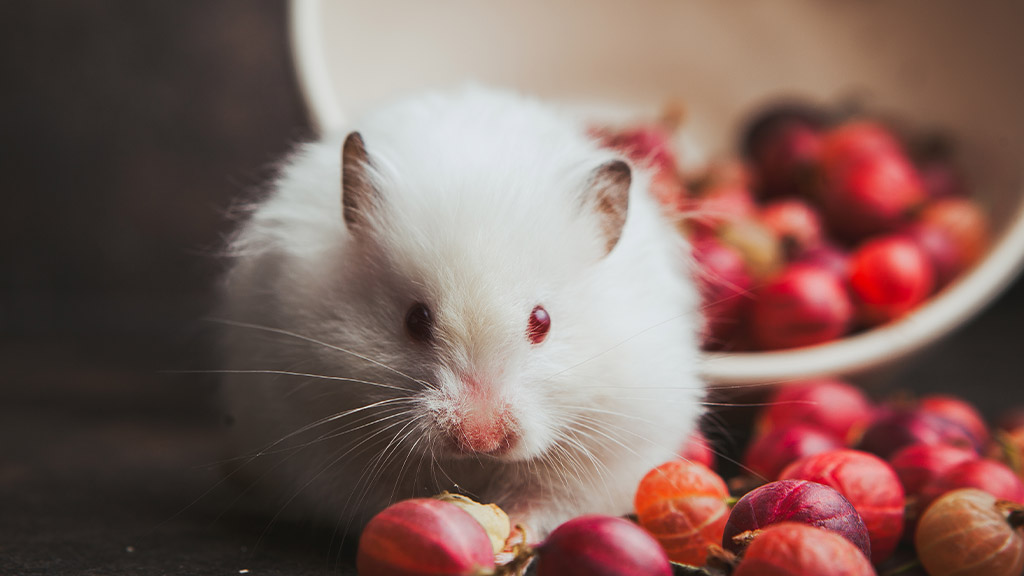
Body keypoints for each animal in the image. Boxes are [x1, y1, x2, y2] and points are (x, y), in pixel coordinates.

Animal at [220, 87, 708, 537]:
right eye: (415, 320)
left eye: (542, 321)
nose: (480, 439)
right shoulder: (313, 426)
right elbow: (383, 495)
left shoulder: (611, 444)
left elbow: (546, 499)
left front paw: (513, 532)